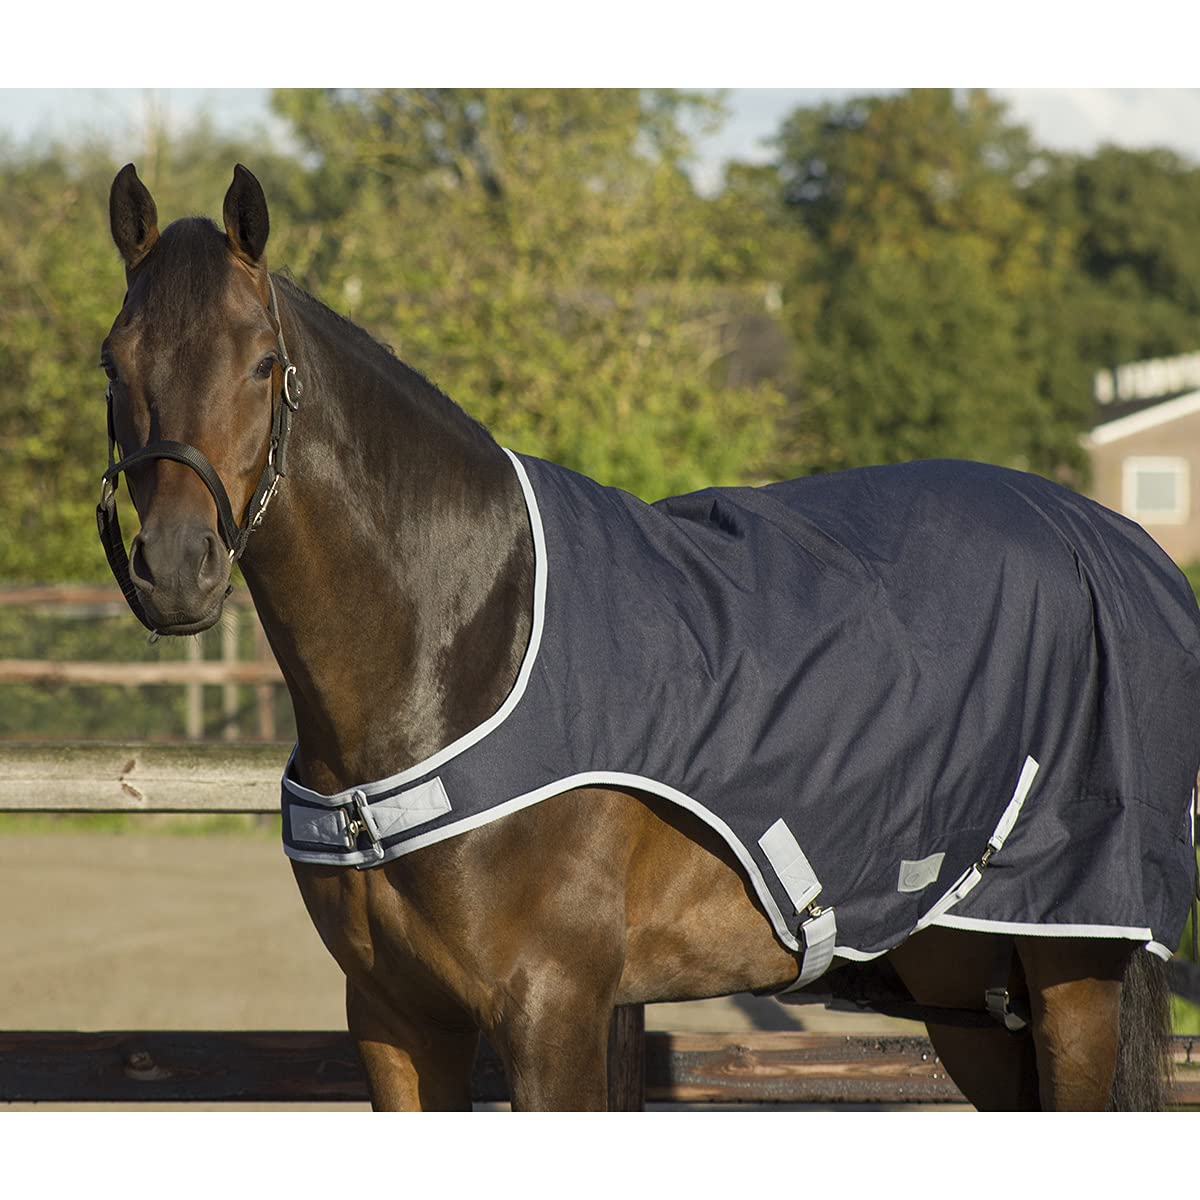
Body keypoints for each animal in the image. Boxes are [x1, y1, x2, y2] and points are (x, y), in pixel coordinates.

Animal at [97, 162, 1196, 1110]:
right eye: (114, 363)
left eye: (261, 363)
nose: (177, 565)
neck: (462, 646)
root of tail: (1113, 538)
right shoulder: (397, 1021)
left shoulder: (552, 1011)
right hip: (964, 979)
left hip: (1071, 970)